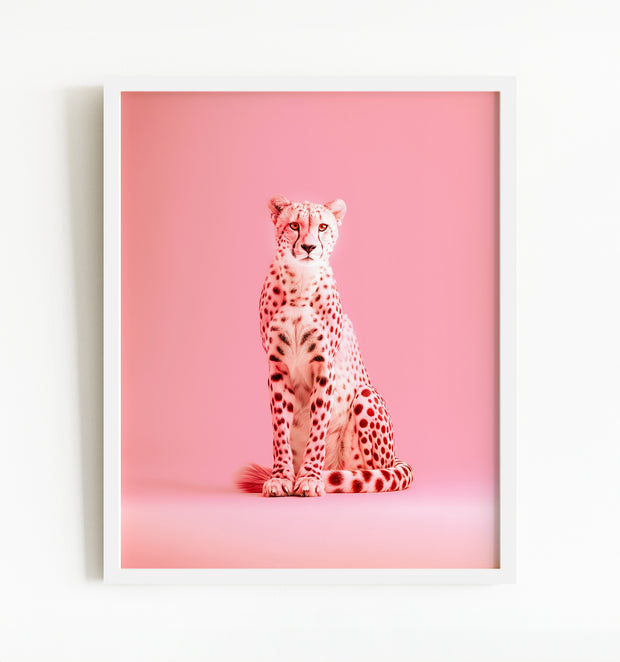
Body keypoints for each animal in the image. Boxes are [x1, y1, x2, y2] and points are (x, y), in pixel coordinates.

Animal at [236, 195, 414, 497]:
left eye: (322, 226)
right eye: (294, 225)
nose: (308, 247)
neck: (299, 283)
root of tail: (394, 457)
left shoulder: (324, 366)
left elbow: (318, 426)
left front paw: (309, 477)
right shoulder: (277, 367)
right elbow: (280, 428)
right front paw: (282, 477)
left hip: (365, 396)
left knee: (373, 473)